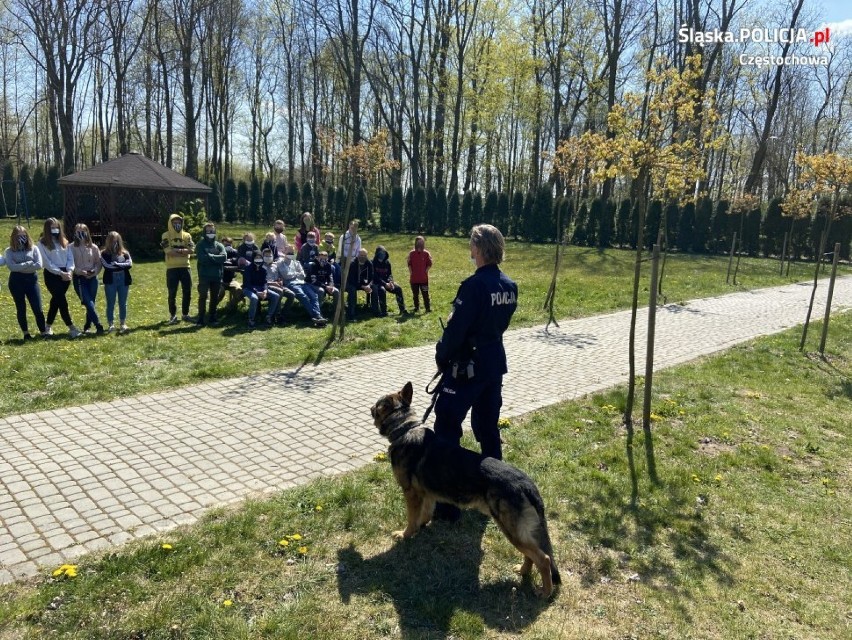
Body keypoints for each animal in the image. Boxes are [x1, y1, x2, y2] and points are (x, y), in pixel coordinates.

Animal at [372, 380, 560, 596]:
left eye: (376, 407)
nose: (370, 409)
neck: (404, 428)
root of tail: (526, 483)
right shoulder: (427, 494)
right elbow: (425, 513)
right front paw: (422, 526)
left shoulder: (411, 493)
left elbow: (412, 518)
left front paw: (405, 535)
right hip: (518, 530)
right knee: (533, 554)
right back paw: (523, 571)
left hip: (510, 528)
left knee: (544, 558)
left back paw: (545, 592)